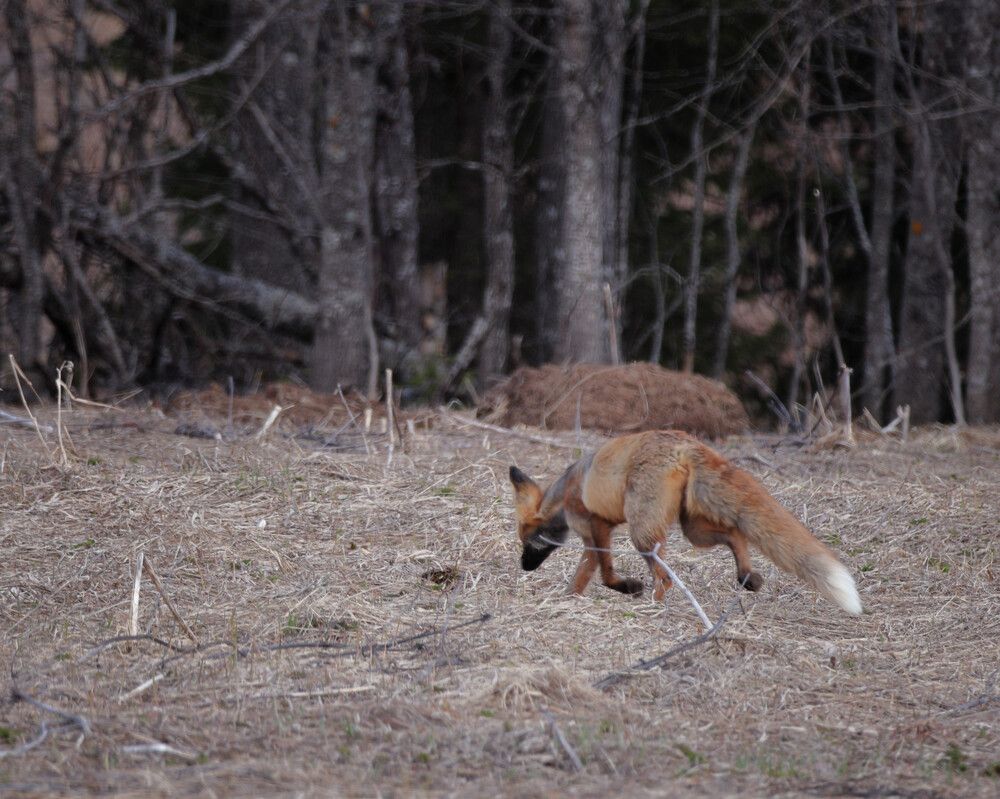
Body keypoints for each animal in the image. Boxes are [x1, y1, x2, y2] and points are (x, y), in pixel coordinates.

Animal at [509, 430, 862, 615]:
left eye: (529, 543)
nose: (524, 567)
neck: (563, 494)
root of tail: (684, 442)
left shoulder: (597, 529)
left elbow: (607, 575)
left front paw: (627, 588)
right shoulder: (595, 537)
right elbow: (583, 576)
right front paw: (569, 600)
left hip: (643, 533)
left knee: (665, 577)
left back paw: (652, 607)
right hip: (694, 530)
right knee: (736, 533)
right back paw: (747, 576)